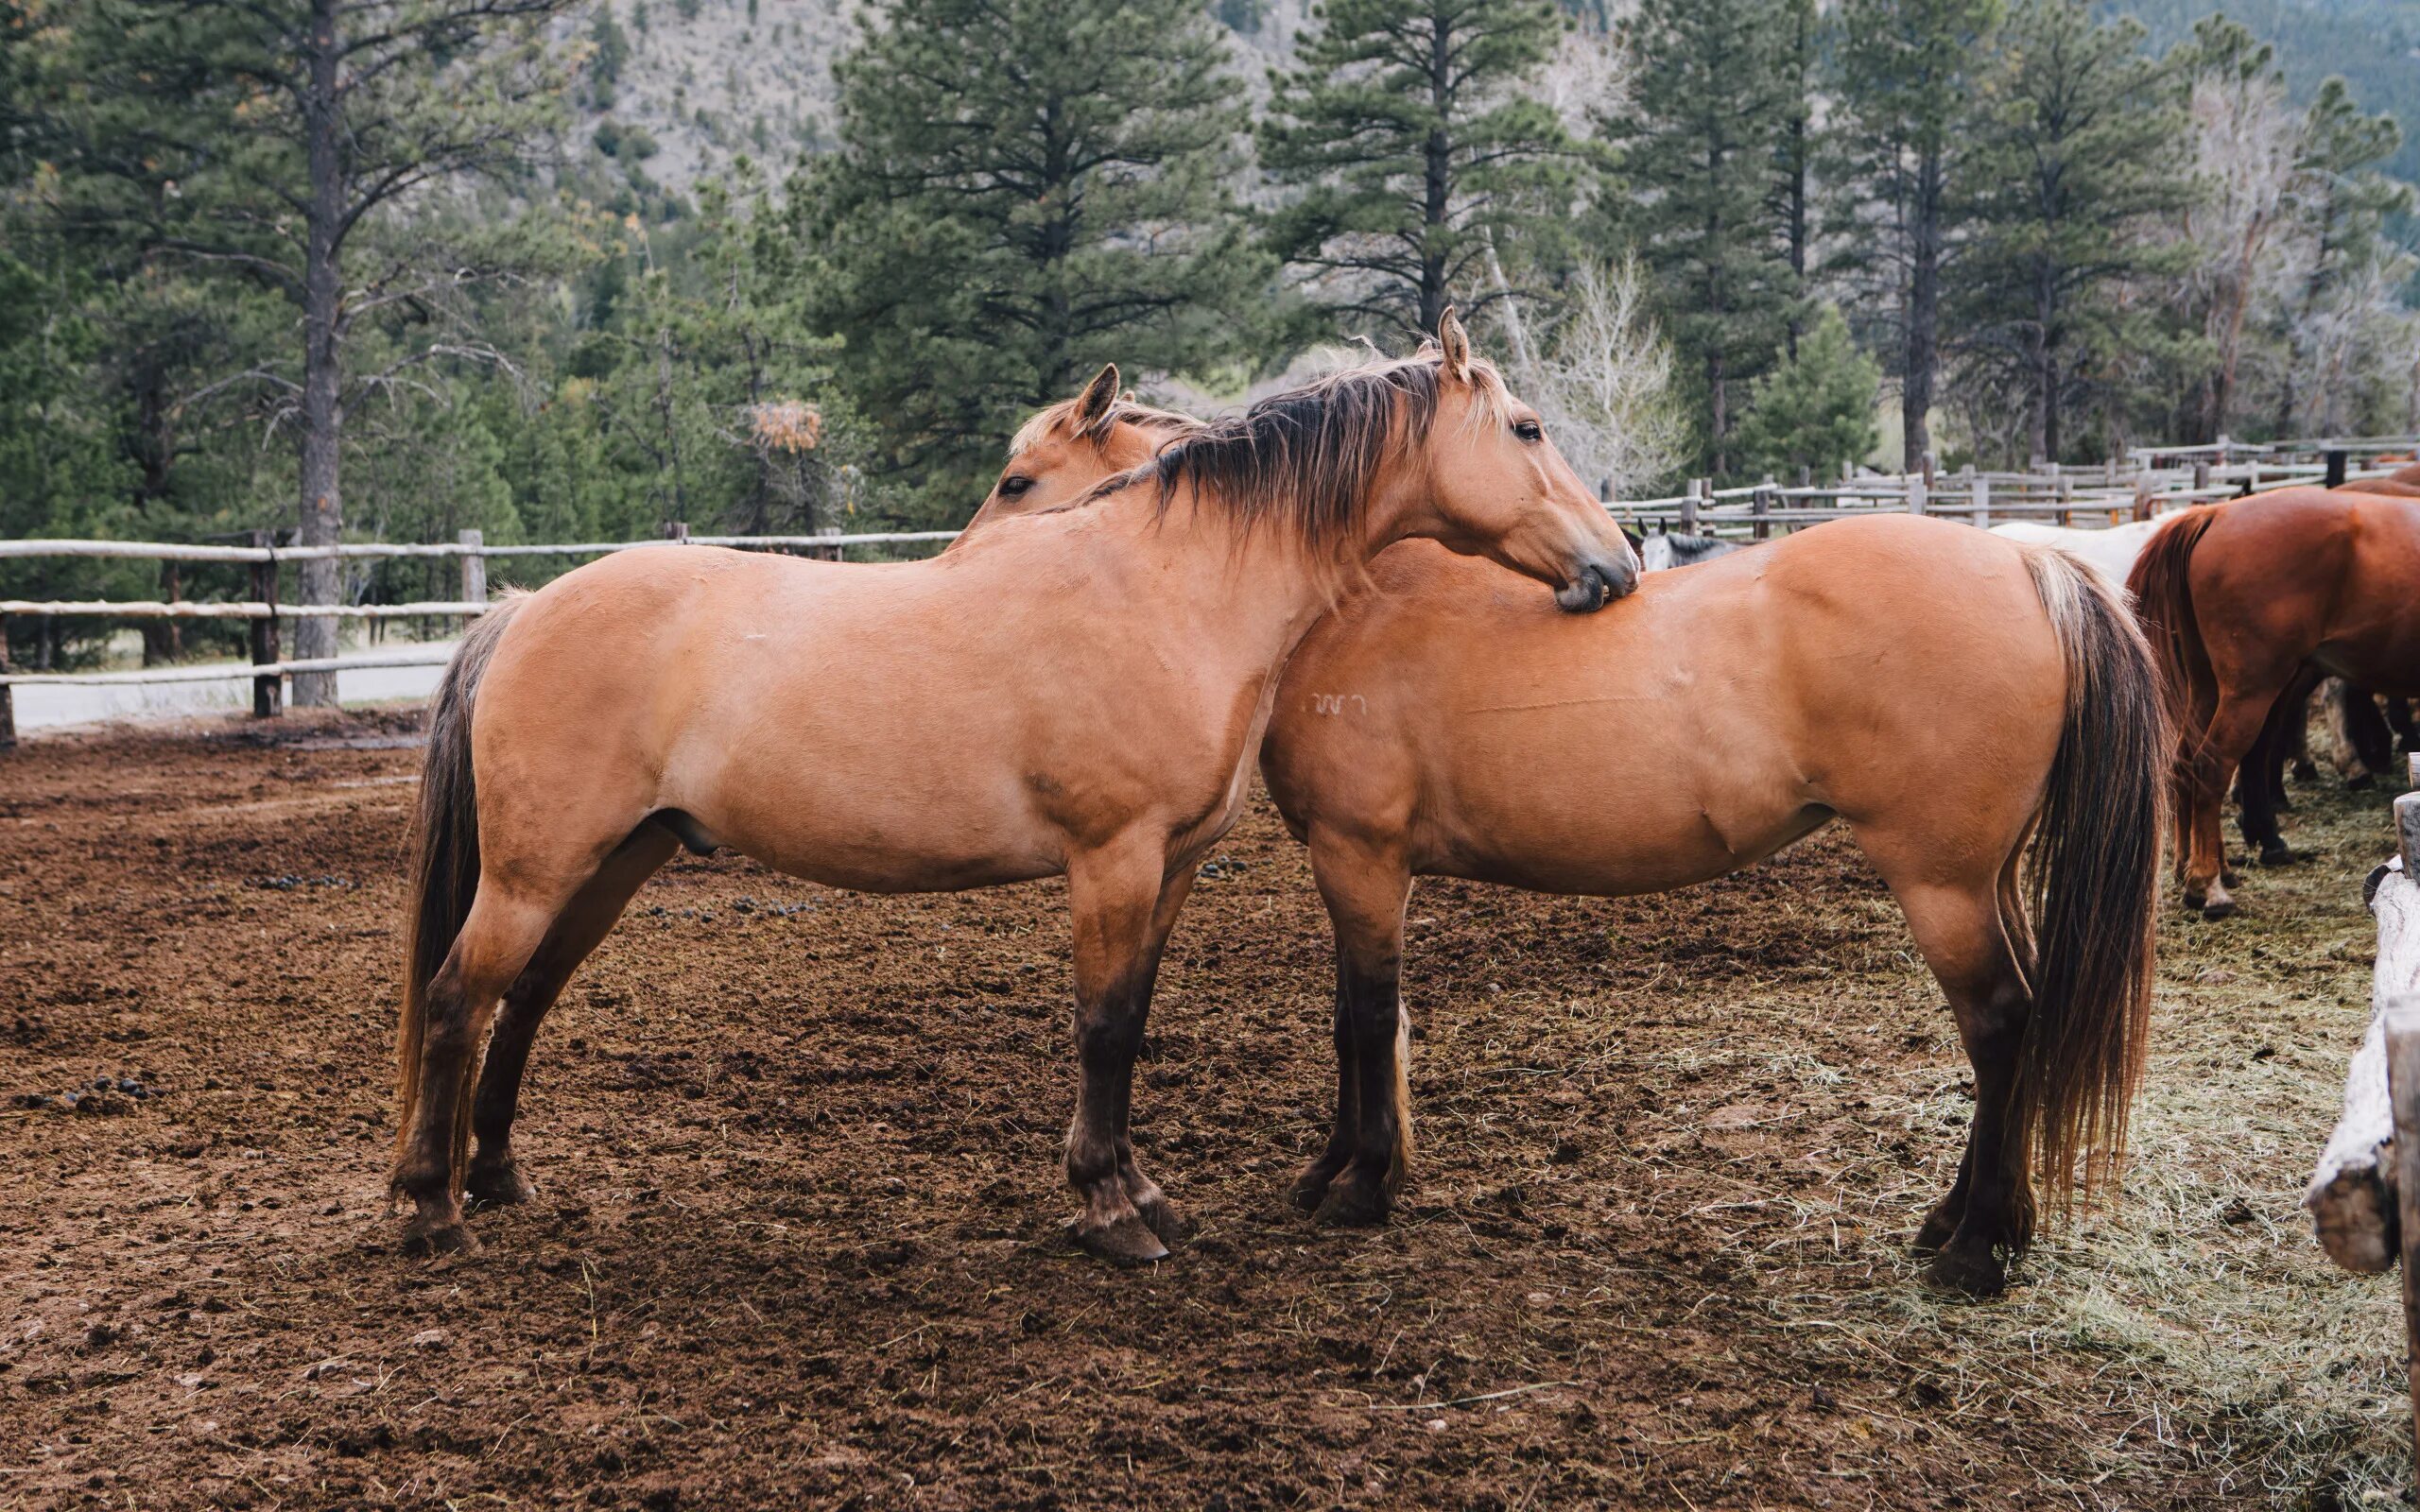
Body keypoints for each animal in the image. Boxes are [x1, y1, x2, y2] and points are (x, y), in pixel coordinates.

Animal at [396, 314, 1635, 1258]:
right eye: (1527, 427)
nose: (1615, 565)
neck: (1166, 587)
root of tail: (522, 609)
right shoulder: (1112, 858)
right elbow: (1101, 1029)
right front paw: (1109, 1211)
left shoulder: (1170, 864)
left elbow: (1130, 1021)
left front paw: (1137, 1192)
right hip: (536, 869)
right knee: (459, 997)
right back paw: (429, 1211)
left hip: (611, 861)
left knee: (524, 999)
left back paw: (493, 1177)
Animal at [2119, 486, 2420, 909]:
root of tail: (2215, 514)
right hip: (2251, 689)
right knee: (2212, 766)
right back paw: (2207, 885)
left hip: (2210, 687)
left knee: (2185, 764)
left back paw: (2198, 867)